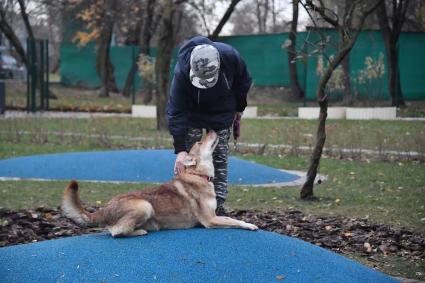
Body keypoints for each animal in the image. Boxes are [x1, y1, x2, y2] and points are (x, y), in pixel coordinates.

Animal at [61, 131, 256, 237]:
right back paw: (140, 232)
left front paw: (248, 223)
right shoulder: (209, 220)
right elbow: (234, 222)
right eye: (200, 141)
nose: (214, 129)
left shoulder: (214, 216)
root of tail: (104, 209)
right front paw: (250, 226)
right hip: (145, 206)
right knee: (117, 232)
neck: (198, 175)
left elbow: (232, 219)